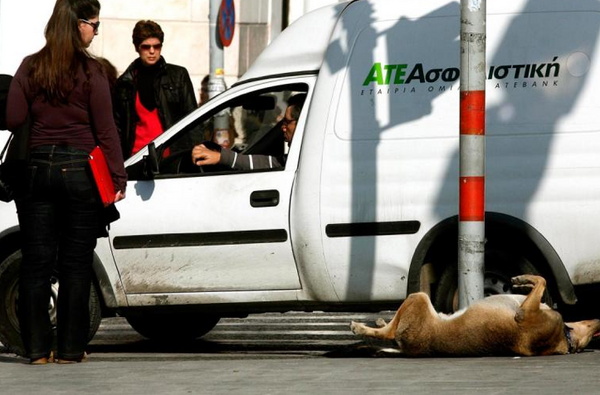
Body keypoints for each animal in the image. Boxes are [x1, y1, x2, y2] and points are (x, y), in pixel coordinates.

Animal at [352, 276, 600, 358]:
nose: (598, 320)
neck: (564, 337)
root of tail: (412, 349)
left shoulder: (523, 314)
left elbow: (542, 280)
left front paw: (523, 279)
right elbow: (539, 281)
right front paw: (523, 282)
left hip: (419, 298)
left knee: (390, 332)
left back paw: (362, 327)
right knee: (390, 331)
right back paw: (379, 322)